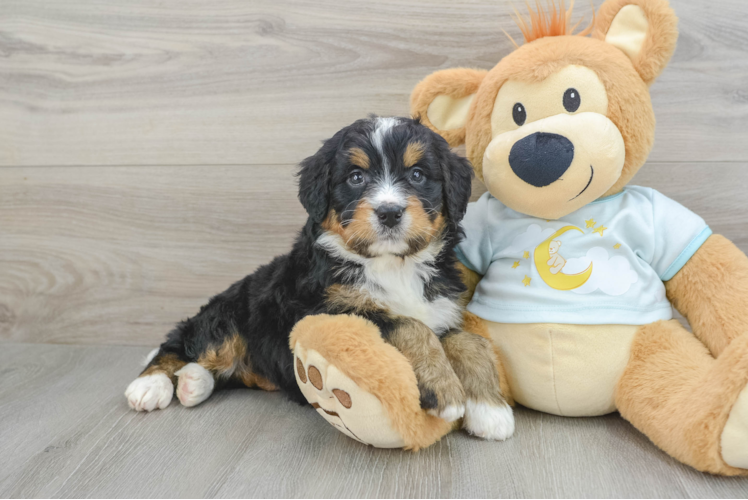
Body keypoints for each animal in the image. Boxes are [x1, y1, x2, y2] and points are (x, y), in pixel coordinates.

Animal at [127, 117, 516, 442]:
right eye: (356, 177)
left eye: (418, 174)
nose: (389, 212)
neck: (393, 265)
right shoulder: (328, 307)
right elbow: (409, 326)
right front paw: (448, 392)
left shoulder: (441, 309)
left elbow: (471, 343)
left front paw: (490, 410)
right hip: (226, 318)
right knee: (180, 344)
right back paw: (150, 385)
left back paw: (193, 383)